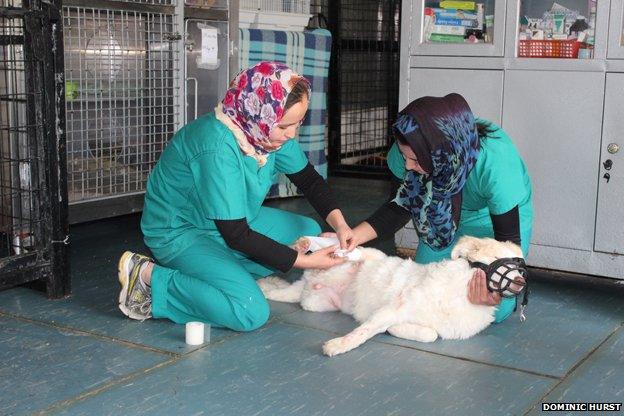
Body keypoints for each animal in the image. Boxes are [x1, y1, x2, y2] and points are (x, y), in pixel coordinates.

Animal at [258, 236, 528, 356]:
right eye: (498, 259)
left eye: (518, 264)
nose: (522, 281)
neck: (461, 291)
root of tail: (308, 283)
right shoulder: (395, 308)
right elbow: (363, 332)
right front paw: (339, 345)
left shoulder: (414, 319)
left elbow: (429, 334)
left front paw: (396, 330)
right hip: (366, 253)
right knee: (348, 249)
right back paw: (310, 245)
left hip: (314, 303)